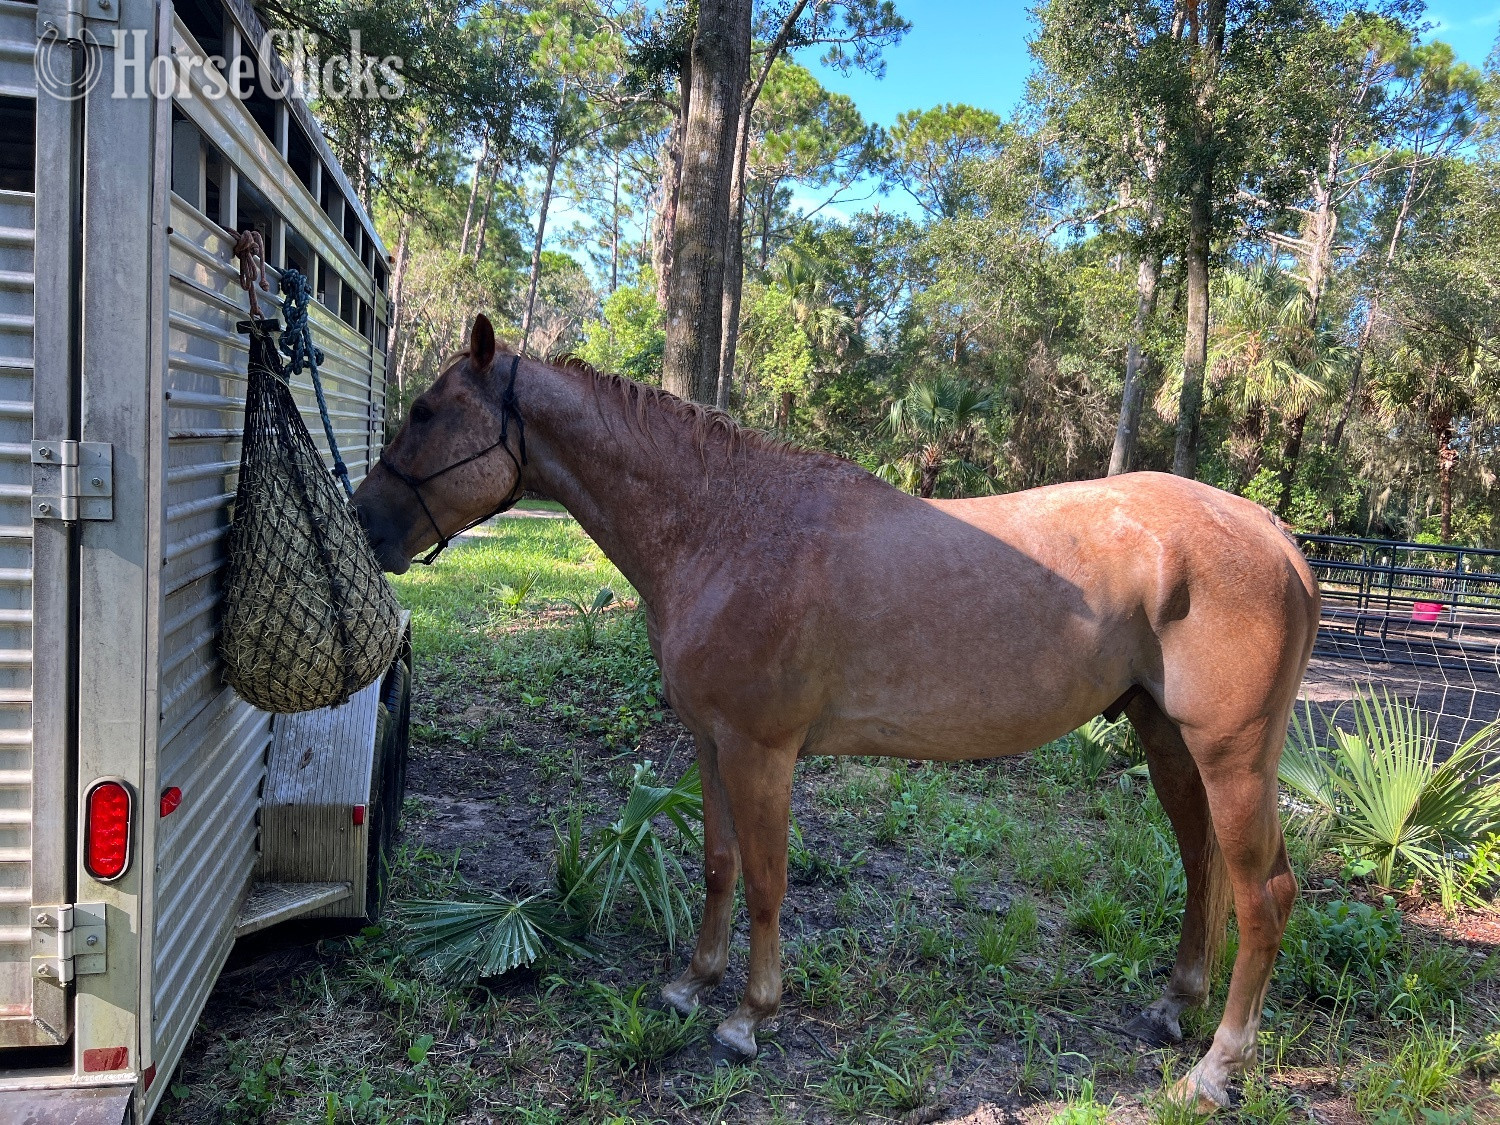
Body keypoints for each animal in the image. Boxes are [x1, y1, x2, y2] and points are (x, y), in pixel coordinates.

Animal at [352, 315, 1318, 1112]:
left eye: (426, 410)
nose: (365, 520)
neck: (728, 526)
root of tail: (1273, 535)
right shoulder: (710, 741)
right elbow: (718, 864)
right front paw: (692, 983)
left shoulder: (761, 751)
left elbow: (767, 882)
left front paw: (749, 1017)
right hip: (1167, 741)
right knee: (1202, 871)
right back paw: (1173, 1008)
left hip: (1230, 756)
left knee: (1263, 895)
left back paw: (1216, 1068)